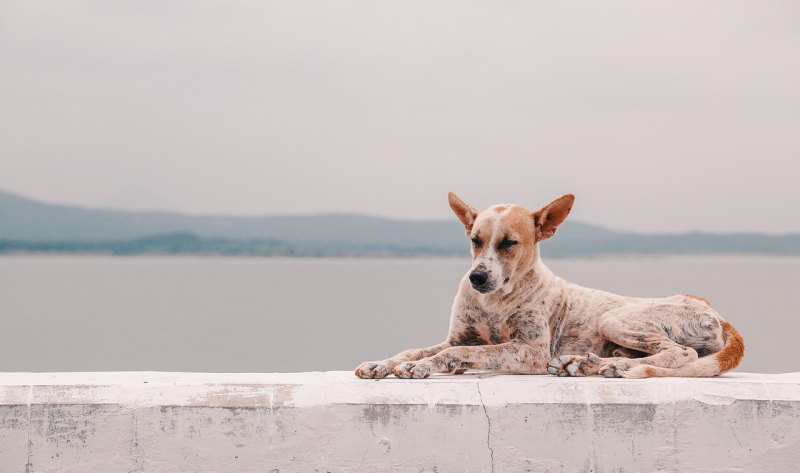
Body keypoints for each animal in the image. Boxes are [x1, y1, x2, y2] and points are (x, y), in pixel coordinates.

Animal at [356, 190, 744, 378]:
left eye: (509, 243)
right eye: (474, 240)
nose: (477, 277)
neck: (496, 301)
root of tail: (716, 313)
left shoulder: (530, 350)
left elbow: (456, 354)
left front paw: (421, 367)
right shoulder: (459, 336)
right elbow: (415, 350)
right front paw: (383, 363)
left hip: (615, 319)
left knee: (681, 353)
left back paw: (615, 367)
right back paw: (588, 363)